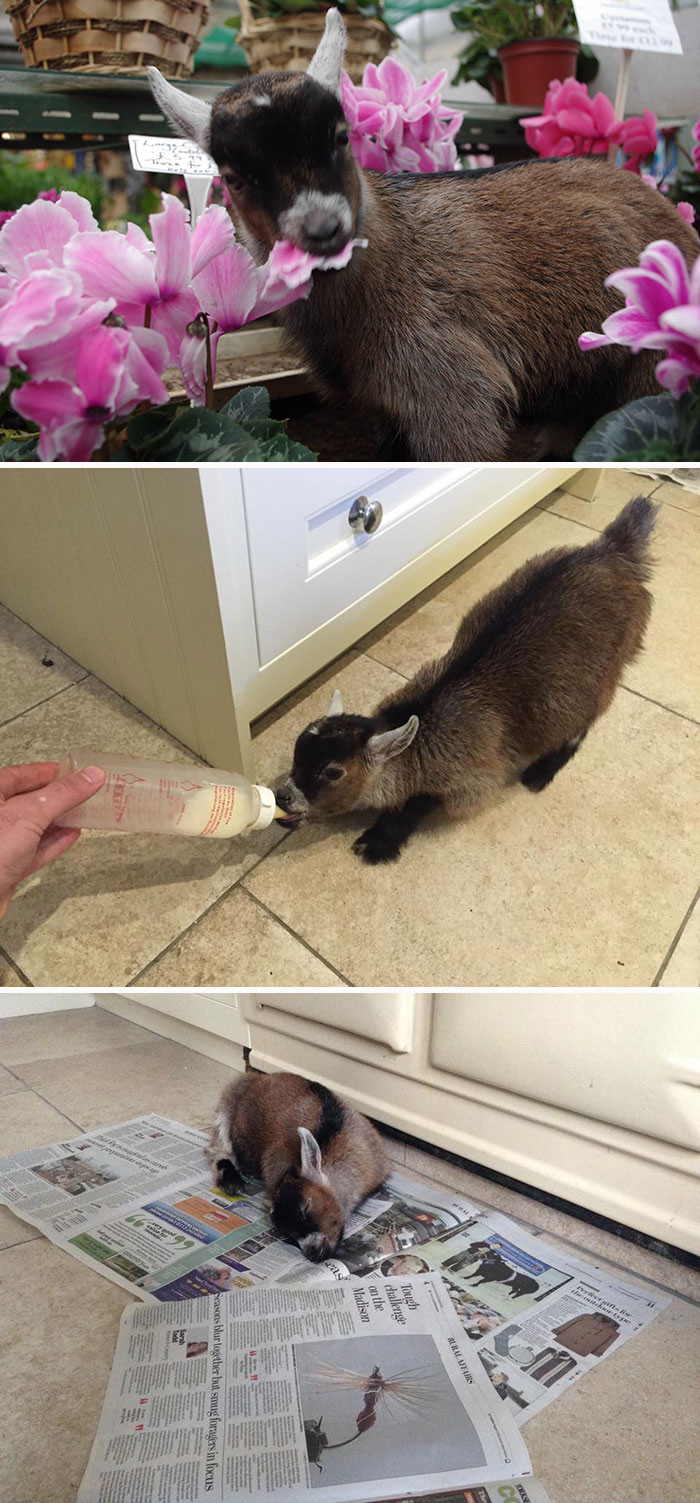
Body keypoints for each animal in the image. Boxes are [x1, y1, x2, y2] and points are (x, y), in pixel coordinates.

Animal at [276, 495, 655, 864]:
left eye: (333, 772)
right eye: (297, 750)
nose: (282, 796)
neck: (420, 728)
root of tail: (613, 551)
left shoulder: (474, 774)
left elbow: (425, 800)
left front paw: (378, 840)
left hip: (595, 674)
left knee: (582, 720)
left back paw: (542, 769)